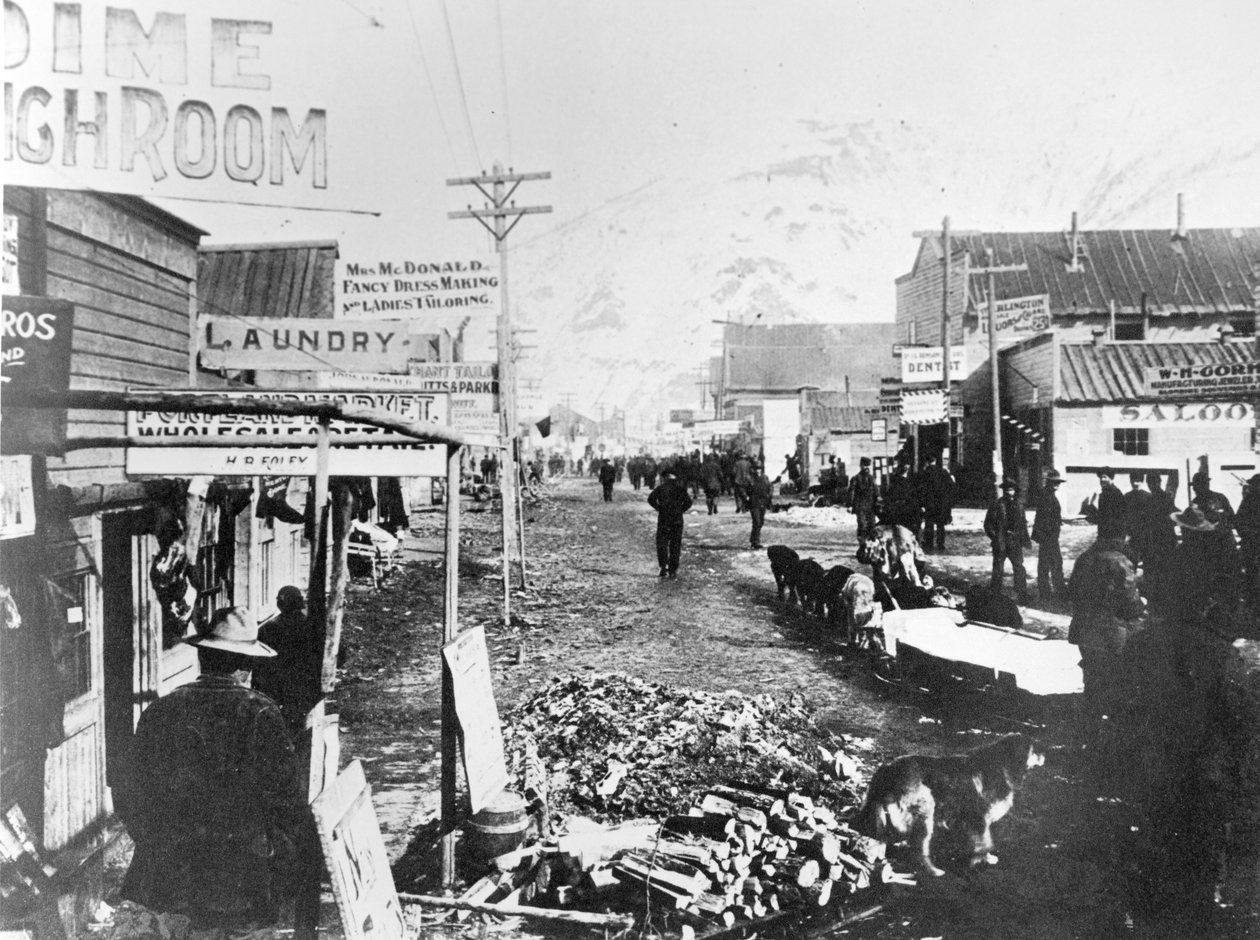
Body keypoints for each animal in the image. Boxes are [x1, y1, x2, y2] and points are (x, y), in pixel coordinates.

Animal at [856, 730, 1043, 876]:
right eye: (1034, 749)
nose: (1044, 755)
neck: (1001, 763)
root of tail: (886, 771)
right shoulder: (978, 817)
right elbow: (986, 842)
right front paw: (981, 859)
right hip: (926, 810)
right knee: (919, 850)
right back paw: (933, 870)